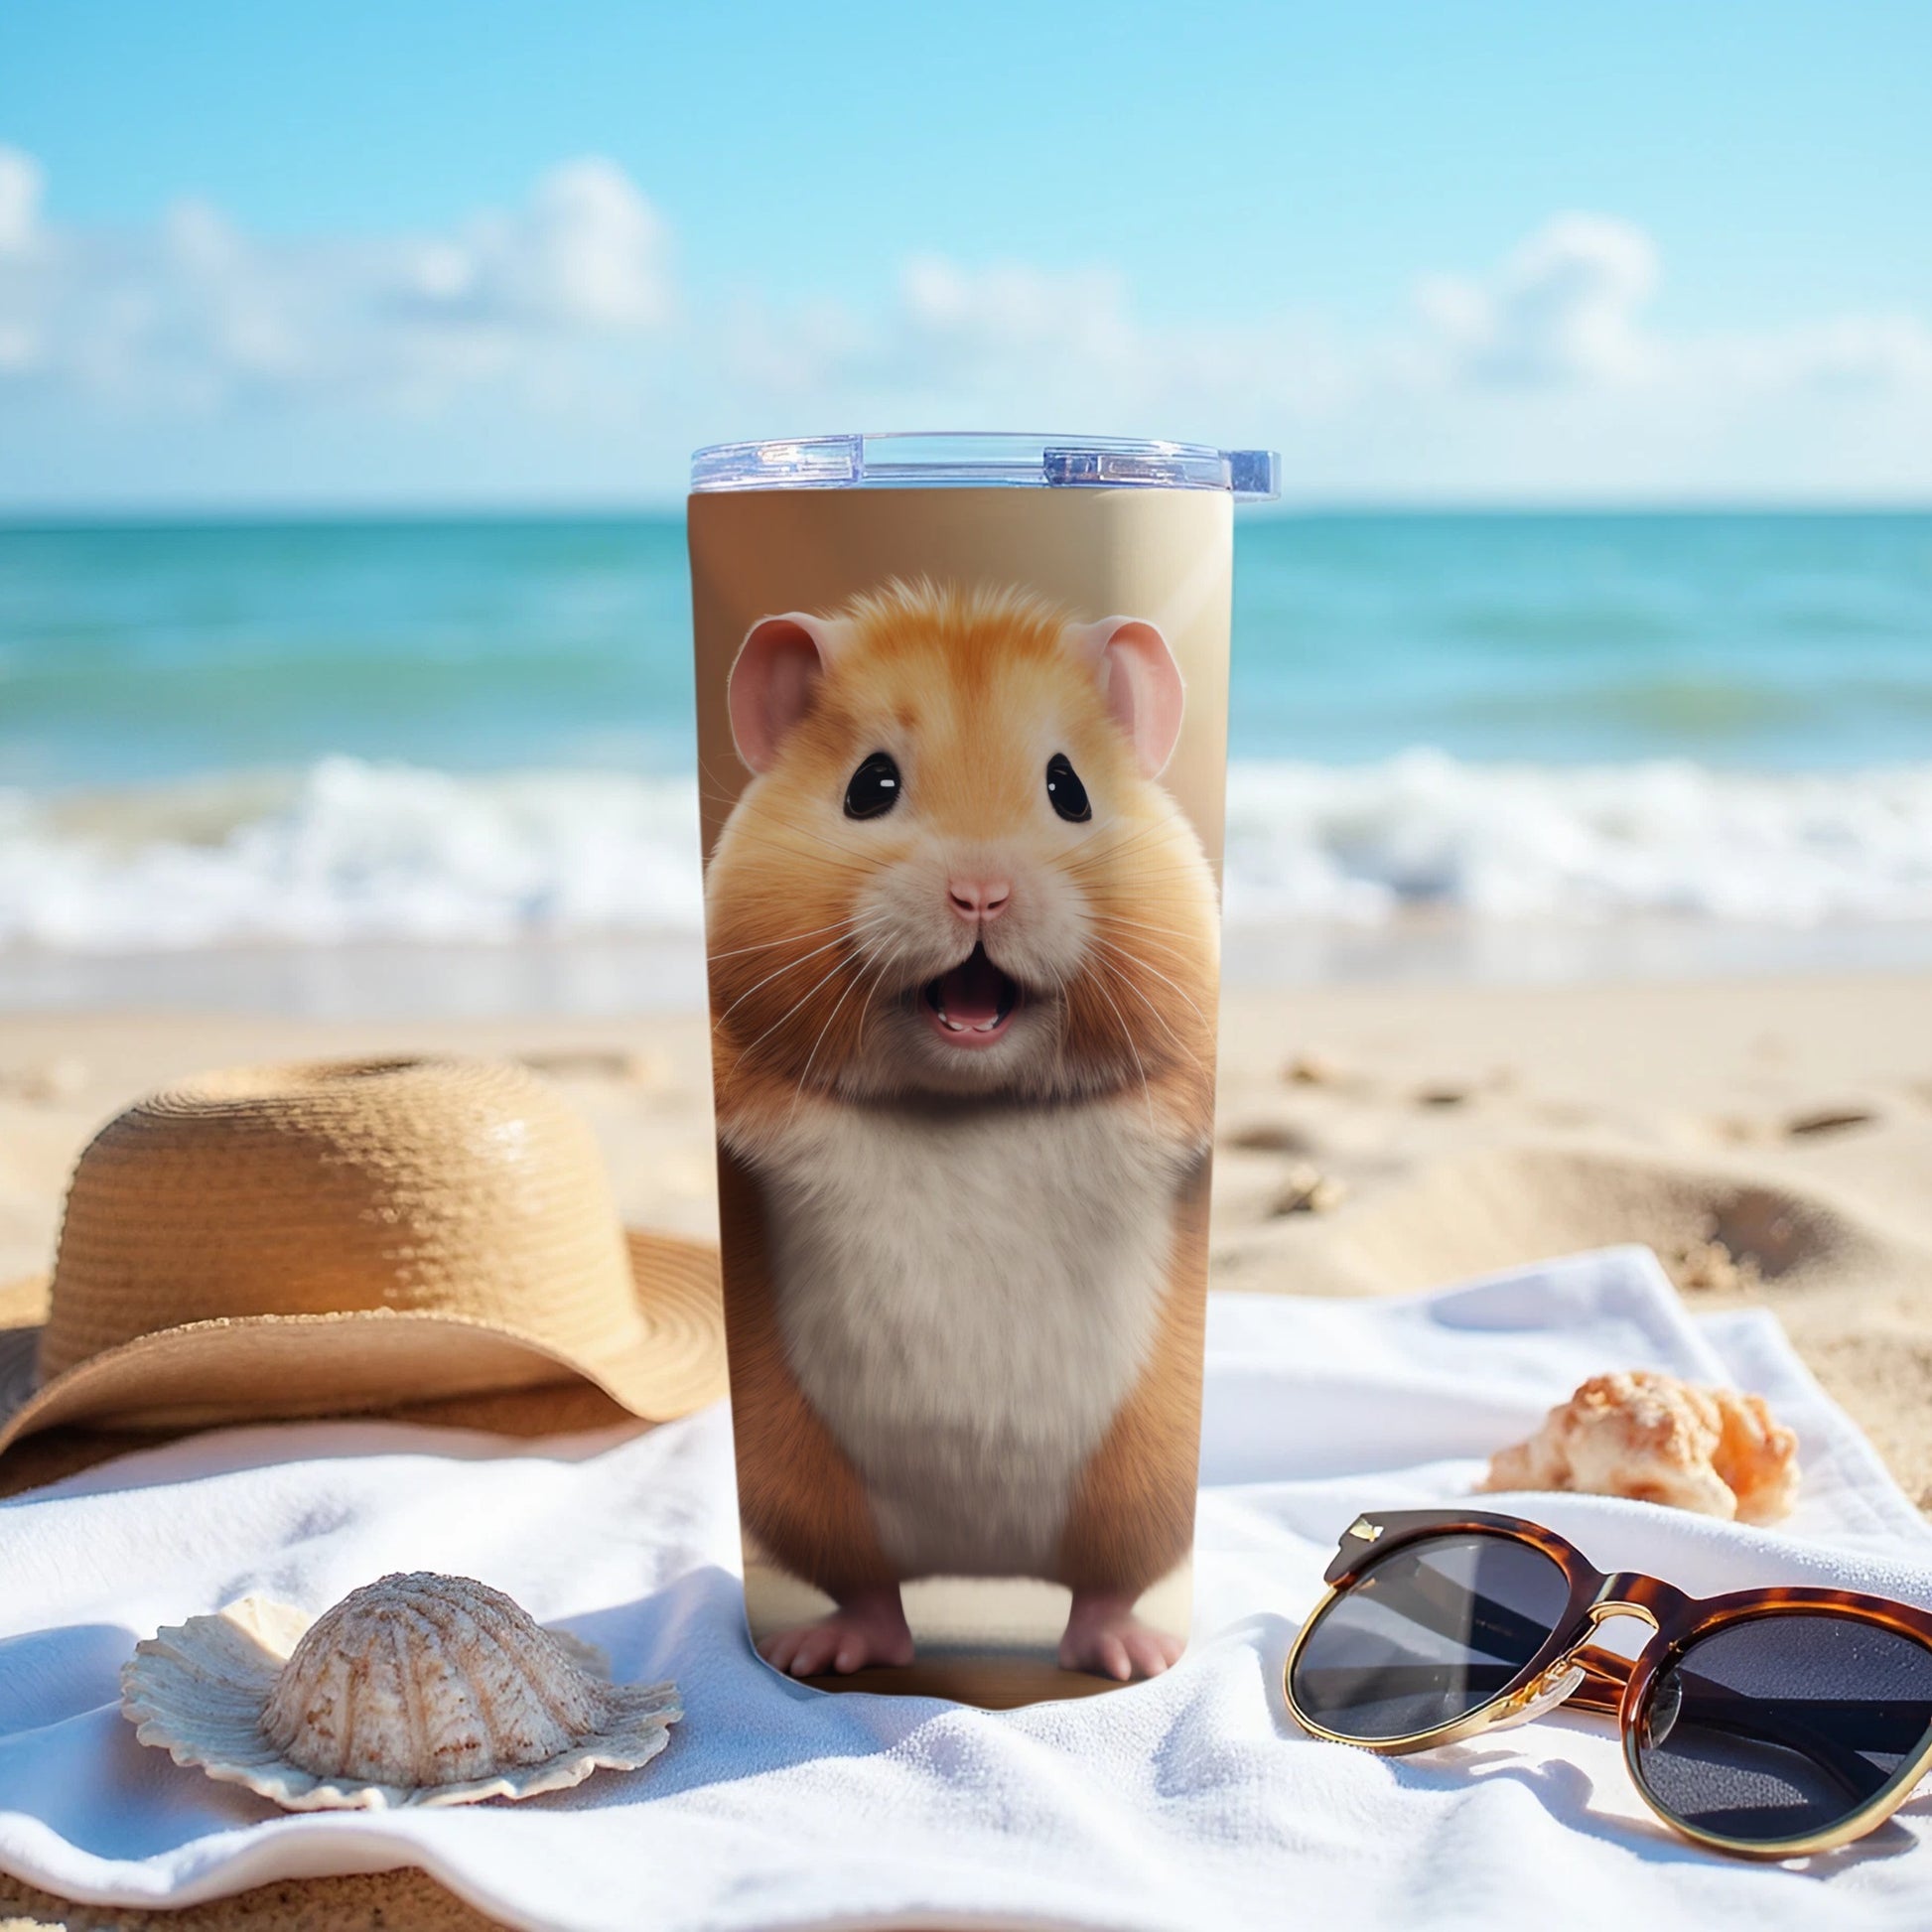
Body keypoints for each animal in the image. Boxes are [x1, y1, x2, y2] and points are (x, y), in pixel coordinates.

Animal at [705, 577, 1220, 1683]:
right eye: (870, 784)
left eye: (1069, 788)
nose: (979, 892)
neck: (965, 1099)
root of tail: (980, 1566)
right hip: (805, 1484)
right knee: (871, 1591)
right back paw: (824, 1652)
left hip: (1141, 1482)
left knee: (1102, 1588)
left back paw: (1130, 1655)